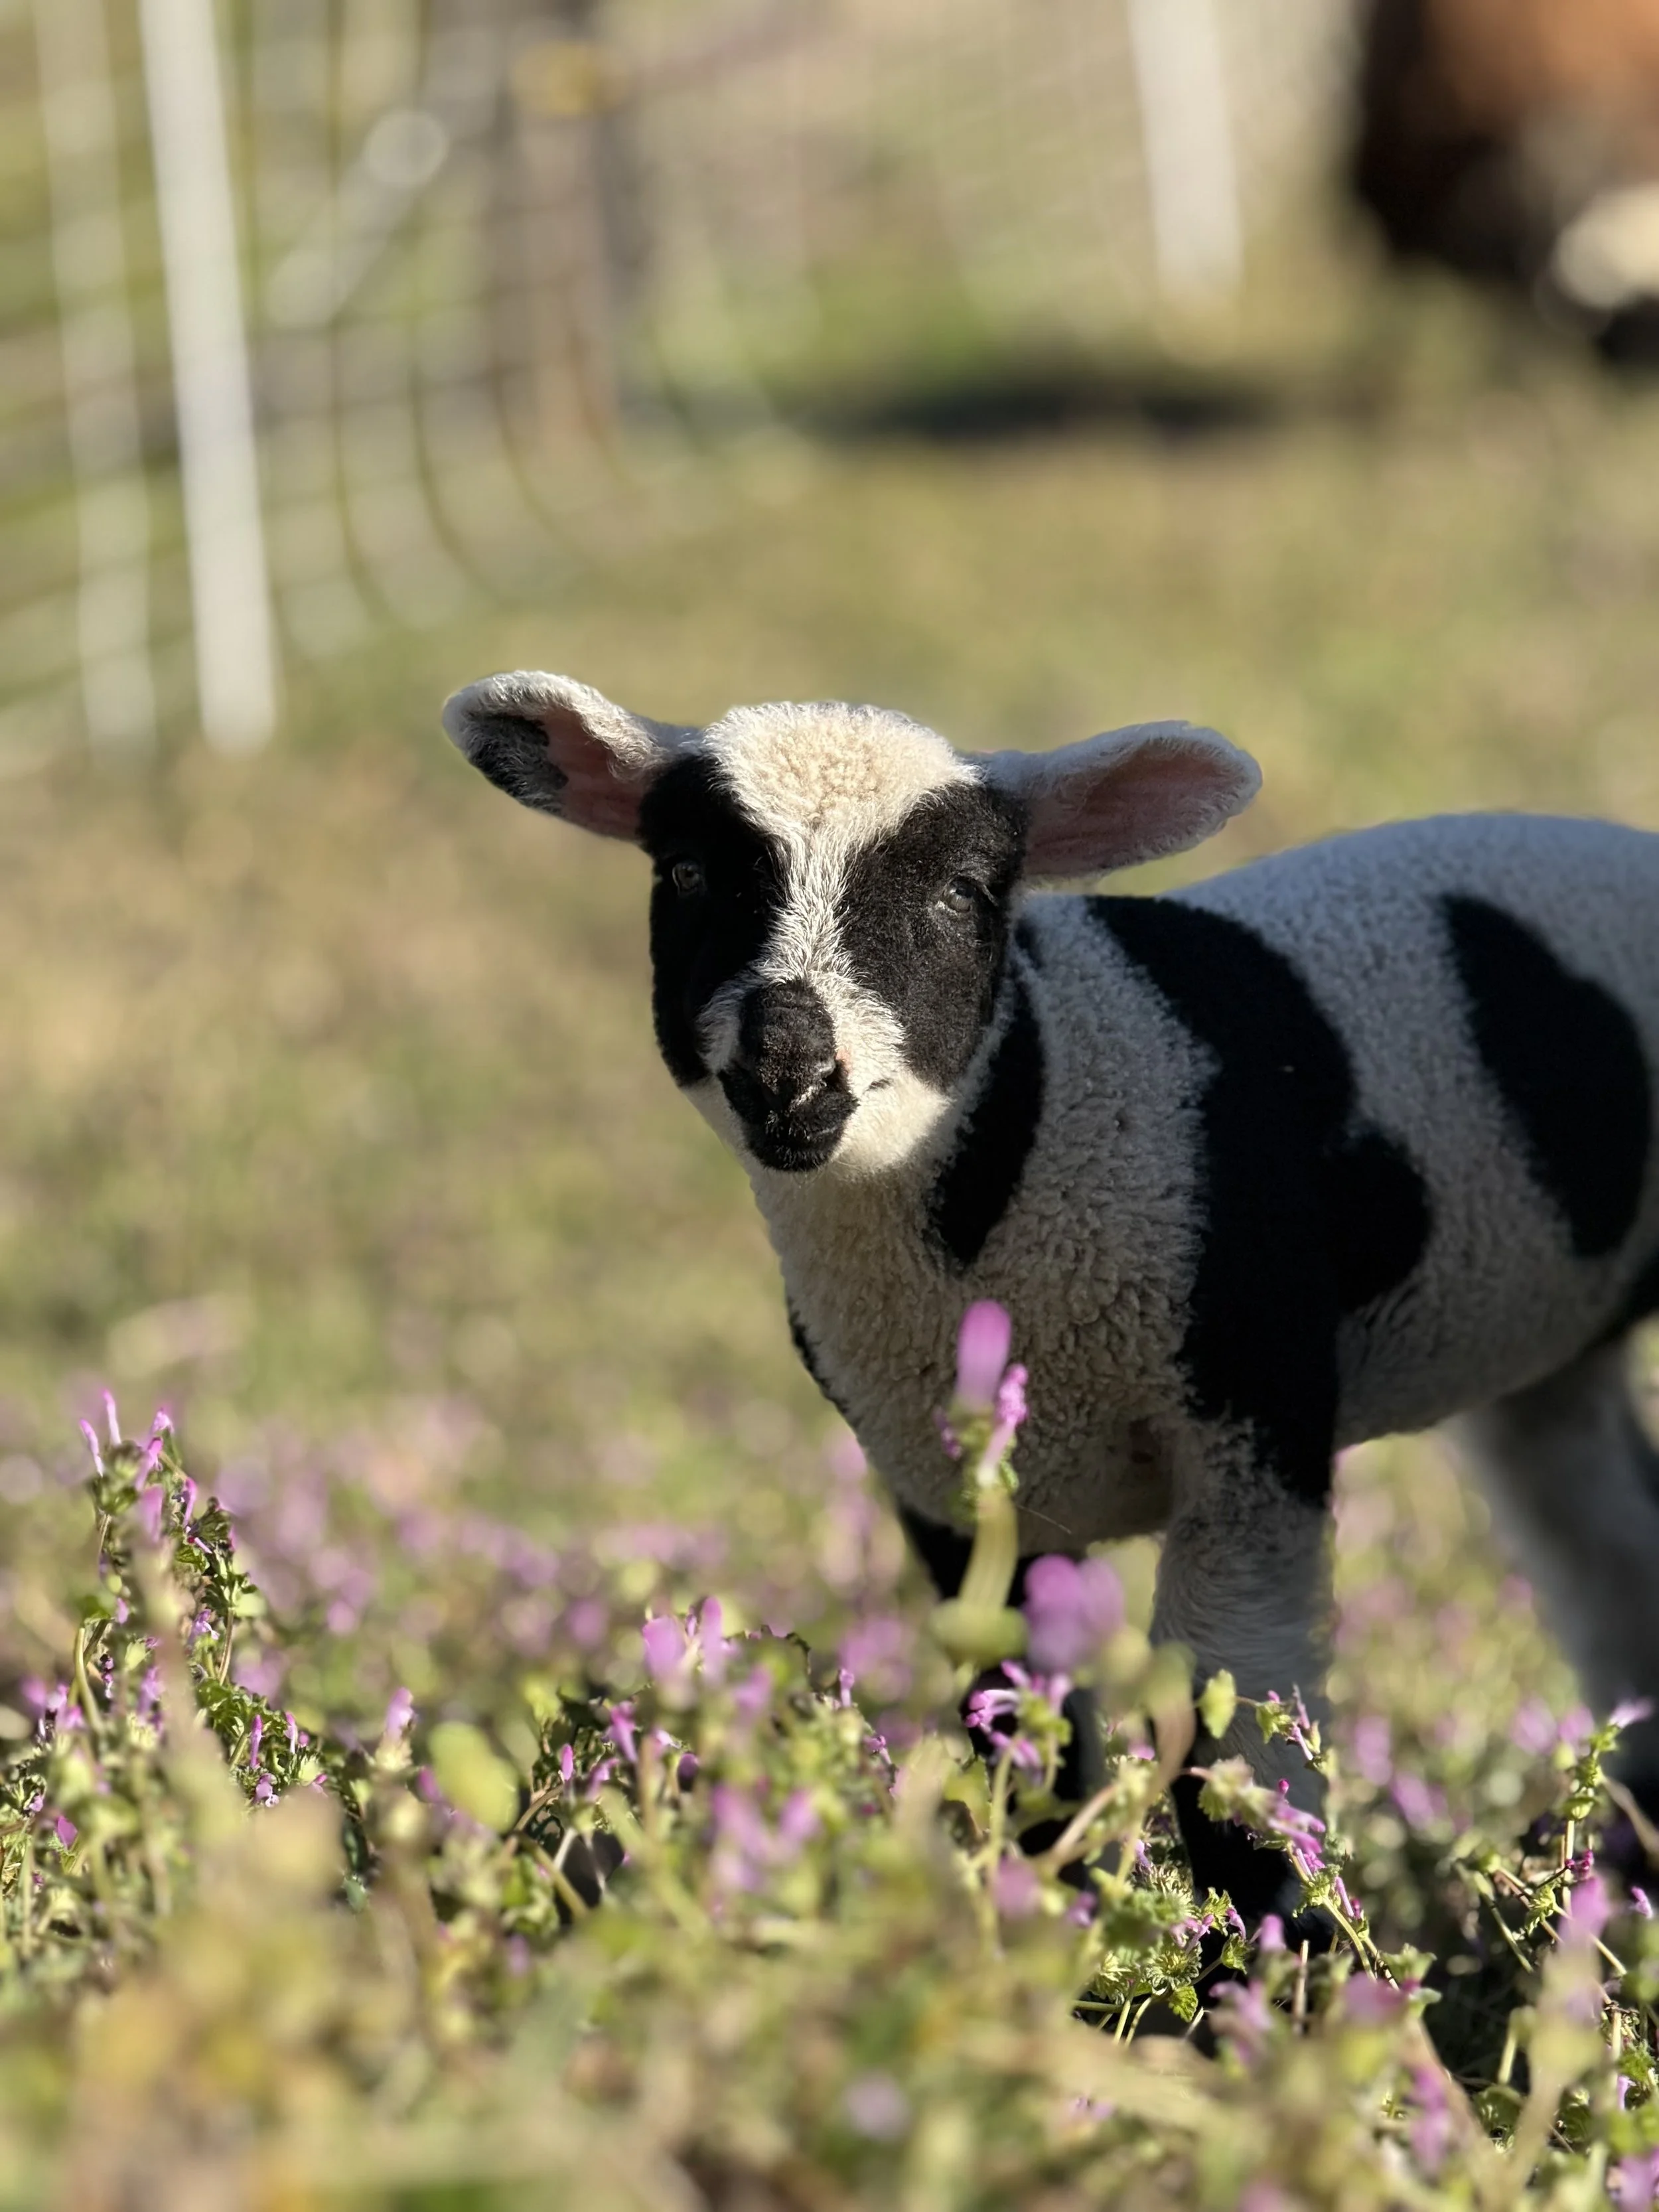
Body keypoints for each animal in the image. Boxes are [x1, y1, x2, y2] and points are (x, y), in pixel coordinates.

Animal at [443, 669, 1659, 1919]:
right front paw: (1054, 1923)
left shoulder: (1250, 1424)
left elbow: (1233, 1737)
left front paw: (1275, 1960)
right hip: (1549, 1358)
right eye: (685, 874)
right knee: (1610, 1555)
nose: (790, 1073)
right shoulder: (946, 1479)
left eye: (964, 891)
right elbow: (1022, 1740)